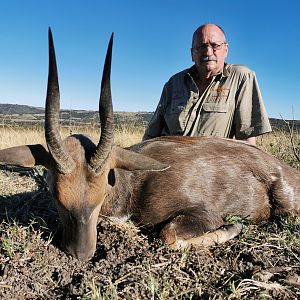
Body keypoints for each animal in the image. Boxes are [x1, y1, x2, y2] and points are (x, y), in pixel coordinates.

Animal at [0, 29, 300, 262]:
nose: (80, 254)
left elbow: (168, 236)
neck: (131, 184)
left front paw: (235, 228)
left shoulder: (203, 214)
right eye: (56, 195)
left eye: (101, 195)